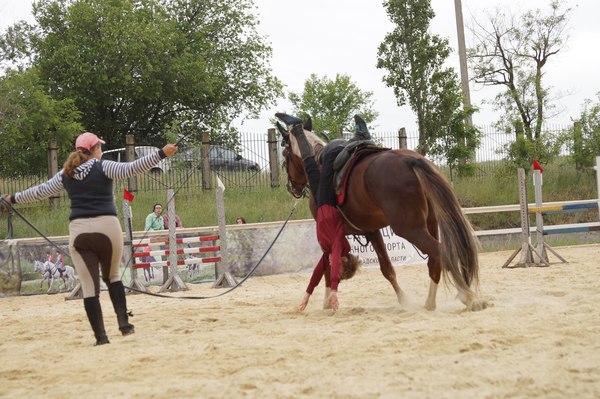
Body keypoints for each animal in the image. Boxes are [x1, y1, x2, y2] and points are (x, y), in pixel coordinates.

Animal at [276, 112, 488, 312]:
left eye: (285, 154)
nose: (291, 186)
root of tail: (410, 159)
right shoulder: (372, 231)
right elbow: (387, 268)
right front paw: (404, 300)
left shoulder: (329, 233)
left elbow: (328, 268)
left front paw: (327, 302)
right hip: (431, 222)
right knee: (435, 262)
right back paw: (430, 303)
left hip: (410, 229)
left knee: (442, 253)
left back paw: (468, 297)